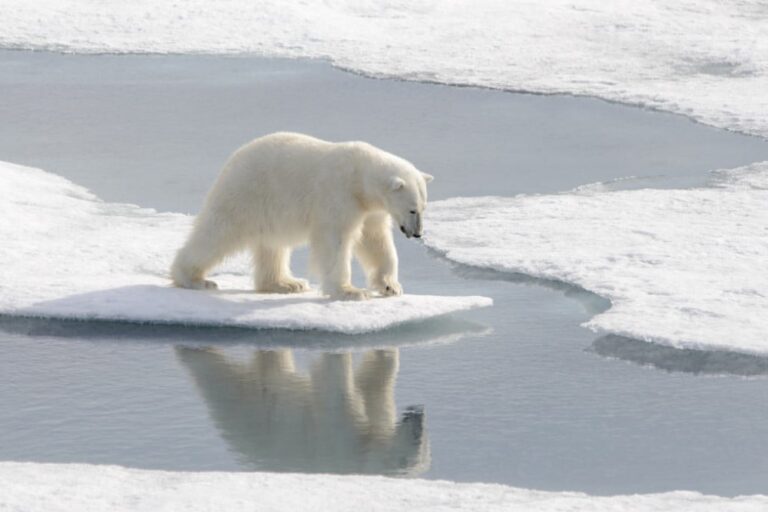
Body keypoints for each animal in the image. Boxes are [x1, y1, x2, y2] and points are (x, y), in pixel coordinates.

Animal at [170, 132, 433, 300]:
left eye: (423, 208)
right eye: (412, 209)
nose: (417, 233)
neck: (359, 178)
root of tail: (232, 161)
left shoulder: (370, 209)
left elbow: (376, 242)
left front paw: (391, 286)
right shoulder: (337, 195)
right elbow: (334, 241)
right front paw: (350, 291)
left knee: (272, 246)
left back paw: (286, 283)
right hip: (247, 194)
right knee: (218, 233)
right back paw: (194, 279)